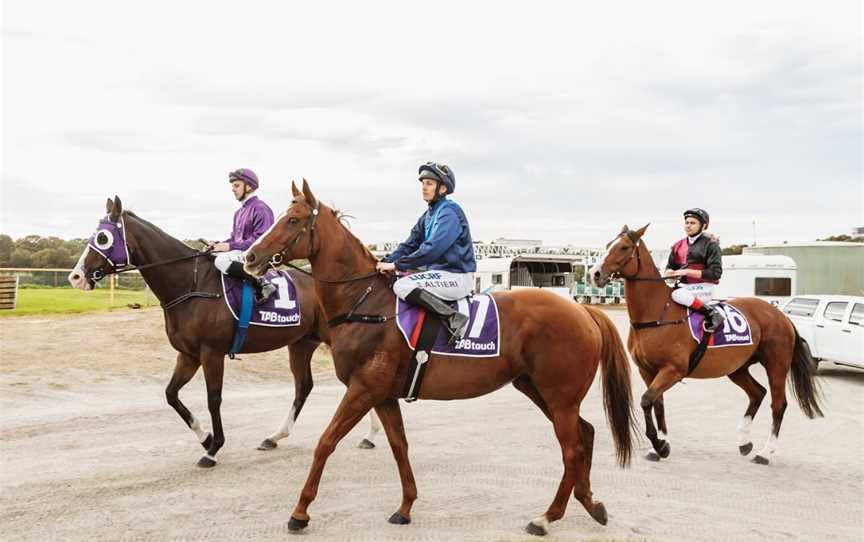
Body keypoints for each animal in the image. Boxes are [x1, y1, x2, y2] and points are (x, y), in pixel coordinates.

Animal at [66, 198, 380, 470]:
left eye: (103, 238)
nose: (76, 276)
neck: (191, 285)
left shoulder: (211, 353)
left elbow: (213, 398)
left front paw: (213, 448)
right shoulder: (188, 355)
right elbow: (171, 395)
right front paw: (205, 438)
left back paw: (370, 434)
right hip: (301, 344)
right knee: (305, 386)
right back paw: (276, 437)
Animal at [243, 181, 636, 536]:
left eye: (293, 220)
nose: (250, 257)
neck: (366, 303)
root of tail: (583, 311)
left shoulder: (362, 389)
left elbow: (326, 443)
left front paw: (300, 512)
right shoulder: (383, 395)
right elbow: (399, 446)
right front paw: (405, 507)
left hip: (559, 397)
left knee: (572, 449)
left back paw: (547, 517)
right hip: (539, 391)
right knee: (585, 435)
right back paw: (591, 503)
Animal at [588, 225, 824, 468]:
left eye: (624, 247)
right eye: (608, 245)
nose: (594, 274)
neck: (658, 313)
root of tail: (781, 315)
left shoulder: (673, 370)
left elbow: (646, 400)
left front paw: (660, 445)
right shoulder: (647, 370)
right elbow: (657, 403)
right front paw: (661, 446)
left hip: (776, 365)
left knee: (778, 404)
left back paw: (765, 452)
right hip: (737, 368)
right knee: (757, 393)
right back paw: (744, 442)